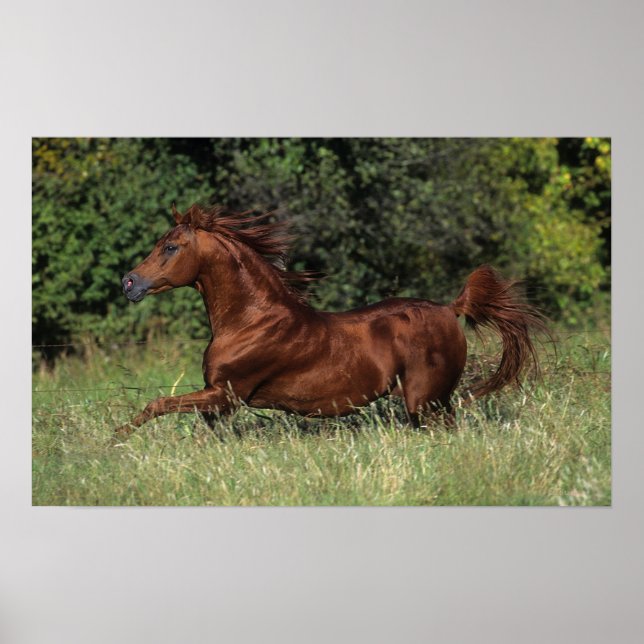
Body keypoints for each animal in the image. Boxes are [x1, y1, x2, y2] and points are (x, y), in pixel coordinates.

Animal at [116, 203, 548, 438]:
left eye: (171, 247)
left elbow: (157, 404)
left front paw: (116, 439)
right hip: (431, 403)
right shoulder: (217, 402)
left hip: (425, 402)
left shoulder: (226, 394)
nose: (129, 282)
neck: (251, 321)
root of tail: (450, 309)